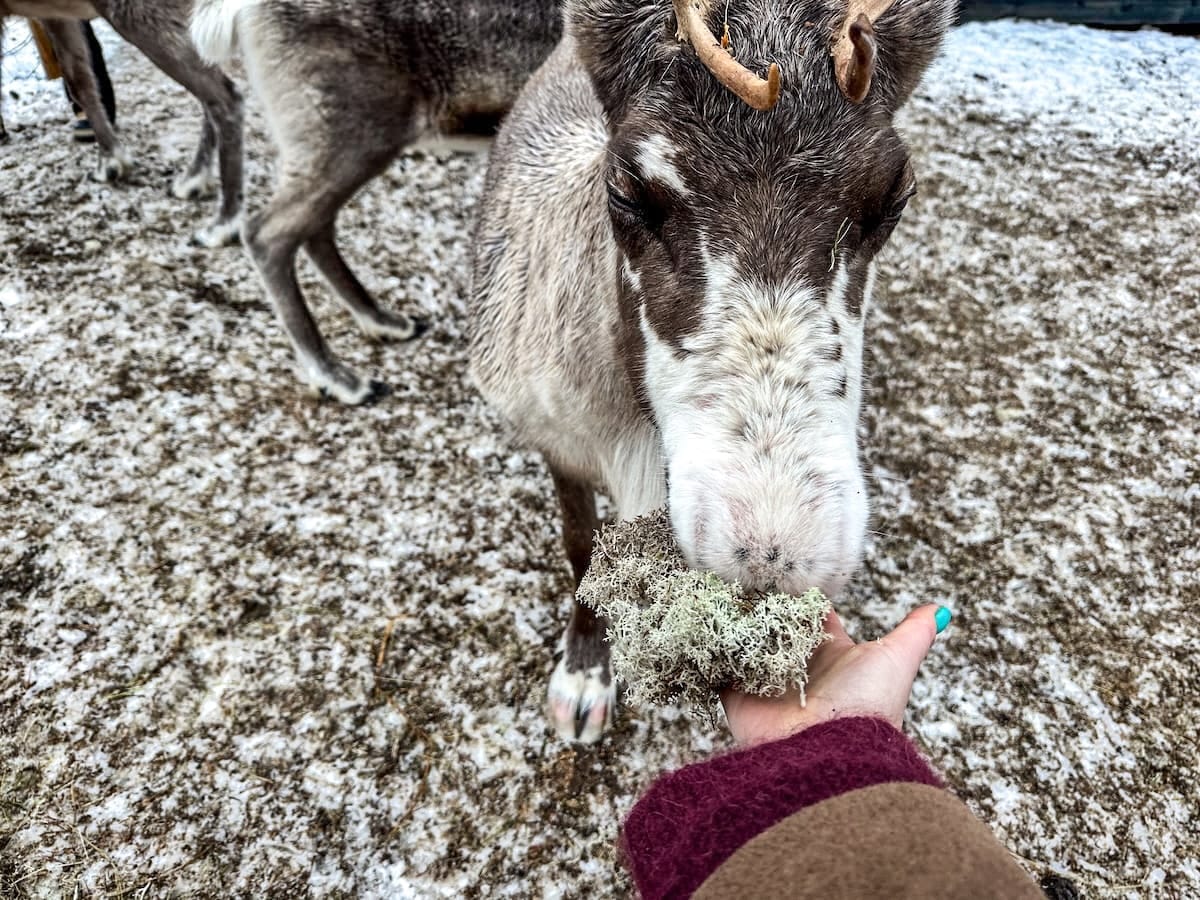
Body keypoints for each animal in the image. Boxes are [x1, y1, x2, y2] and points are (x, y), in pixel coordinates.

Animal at [0, 2, 245, 247]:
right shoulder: (58, 15)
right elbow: (80, 81)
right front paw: (111, 161)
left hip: (137, 16)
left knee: (224, 95)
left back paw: (224, 224)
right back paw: (193, 179)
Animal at [188, 1, 564, 404]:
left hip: (324, 141)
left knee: (313, 228)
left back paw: (381, 321)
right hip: (352, 135)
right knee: (267, 233)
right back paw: (338, 377)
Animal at [470, 0, 956, 743]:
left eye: (894, 196)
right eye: (627, 189)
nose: (769, 558)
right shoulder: (554, 436)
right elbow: (581, 547)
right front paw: (583, 676)